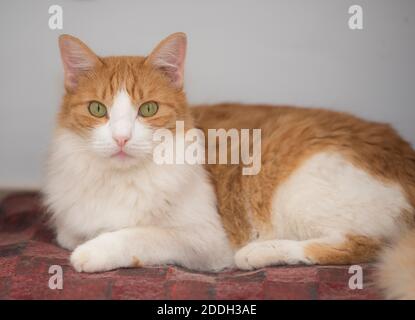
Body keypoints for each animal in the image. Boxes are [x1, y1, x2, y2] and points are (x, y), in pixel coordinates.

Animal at [43, 32, 415, 298]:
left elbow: (138, 235)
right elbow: (74, 235)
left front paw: (96, 250)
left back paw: (258, 252)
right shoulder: (67, 228)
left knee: (360, 245)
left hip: (293, 187)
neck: (121, 179)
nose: (121, 138)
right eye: (97, 109)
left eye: (148, 109)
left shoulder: (205, 239)